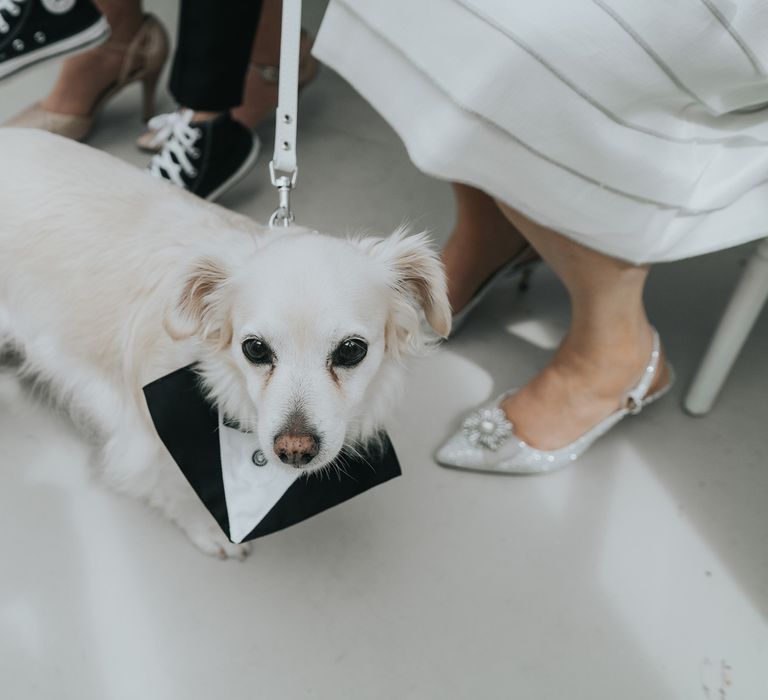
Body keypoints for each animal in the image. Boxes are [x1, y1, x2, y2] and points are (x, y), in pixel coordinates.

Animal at [1, 130, 450, 556]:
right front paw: (209, 533)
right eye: (255, 349)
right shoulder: (148, 433)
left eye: (352, 350)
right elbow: (177, 489)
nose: (294, 450)